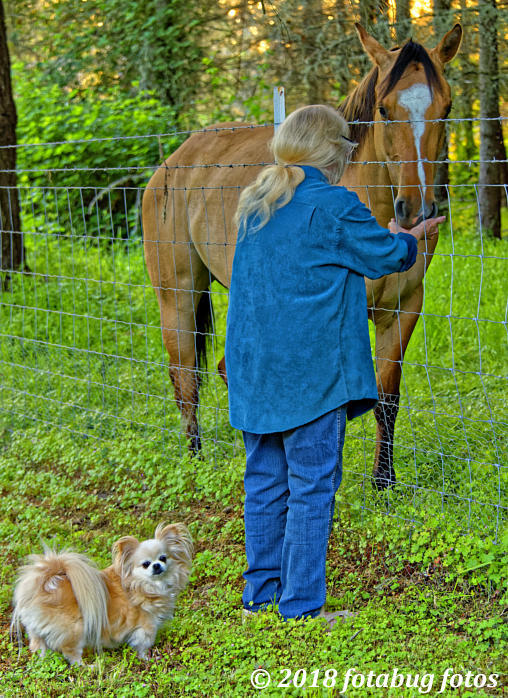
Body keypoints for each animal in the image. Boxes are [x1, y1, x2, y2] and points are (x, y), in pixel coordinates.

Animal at [12, 520, 194, 664]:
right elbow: (143, 645)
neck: (143, 585)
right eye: (145, 564)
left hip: (36, 632)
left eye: (163, 558)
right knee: (71, 654)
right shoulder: (146, 626)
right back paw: (88, 666)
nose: (156, 565)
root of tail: (43, 584)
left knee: (38, 646)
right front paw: (147, 659)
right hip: (75, 630)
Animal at [141, 23, 462, 490]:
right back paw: (195, 457)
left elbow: (387, 398)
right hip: (177, 294)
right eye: (384, 109)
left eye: (447, 107)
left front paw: (383, 483)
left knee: (224, 370)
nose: (416, 211)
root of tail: (176, 161)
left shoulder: (402, 309)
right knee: (184, 376)